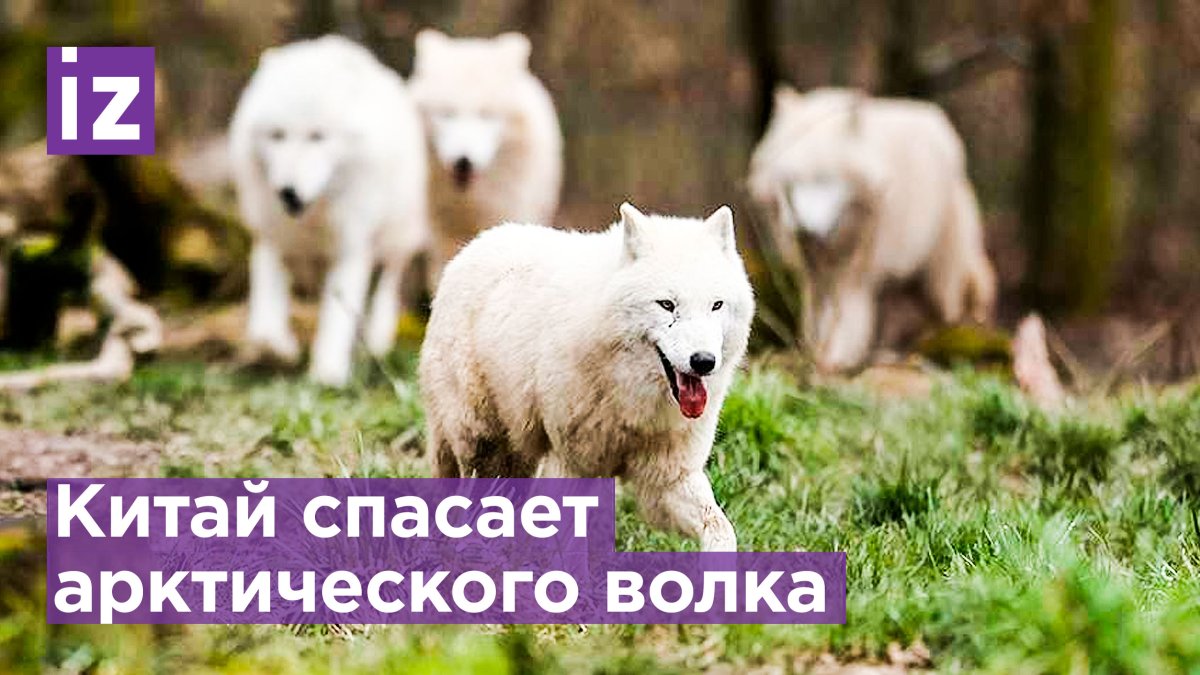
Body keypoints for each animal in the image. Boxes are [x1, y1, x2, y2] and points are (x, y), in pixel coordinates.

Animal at [228, 35, 429, 386]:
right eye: (277, 135)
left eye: (317, 136)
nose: (288, 192)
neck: (312, 219)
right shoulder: (272, 240)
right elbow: (265, 320)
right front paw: (279, 349)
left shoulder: (350, 252)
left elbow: (336, 321)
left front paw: (327, 374)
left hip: (393, 242)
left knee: (387, 287)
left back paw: (375, 343)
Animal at [419, 203, 755, 551]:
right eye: (666, 304)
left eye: (716, 305)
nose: (704, 361)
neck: (629, 402)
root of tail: (473, 247)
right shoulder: (570, 466)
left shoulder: (668, 479)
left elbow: (721, 529)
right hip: (482, 447)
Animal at [748, 86, 995, 373]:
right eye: (789, 180)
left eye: (824, 177)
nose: (803, 230)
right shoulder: (813, 272)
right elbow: (815, 316)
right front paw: (813, 352)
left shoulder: (855, 273)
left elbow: (845, 317)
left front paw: (833, 360)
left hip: (937, 276)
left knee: (946, 309)